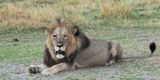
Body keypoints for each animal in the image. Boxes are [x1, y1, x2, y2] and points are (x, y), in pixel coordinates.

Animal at [27, 17, 156, 75]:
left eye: (65, 36)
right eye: (54, 36)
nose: (59, 45)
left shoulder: (71, 64)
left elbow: (57, 66)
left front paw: (47, 71)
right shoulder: (51, 60)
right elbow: (43, 64)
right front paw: (34, 68)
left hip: (116, 43)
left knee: (115, 59)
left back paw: (109, 61)